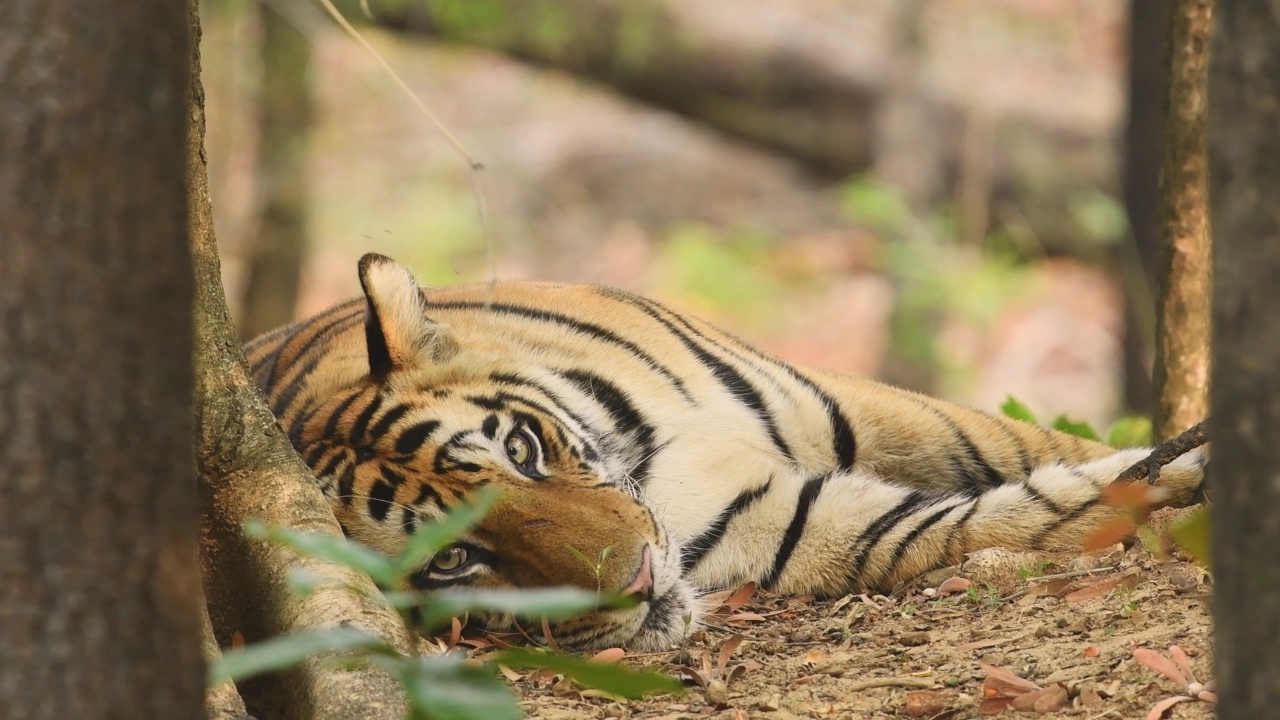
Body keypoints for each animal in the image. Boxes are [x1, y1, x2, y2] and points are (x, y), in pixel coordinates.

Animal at [241, 252, 1208, 650]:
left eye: (522, 448)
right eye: (454, 561)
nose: (638, 581)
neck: (650, 462)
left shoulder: (856, 402)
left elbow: (1021, 441)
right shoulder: (787, 522)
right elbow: (976, 522)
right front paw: (1172, 486)